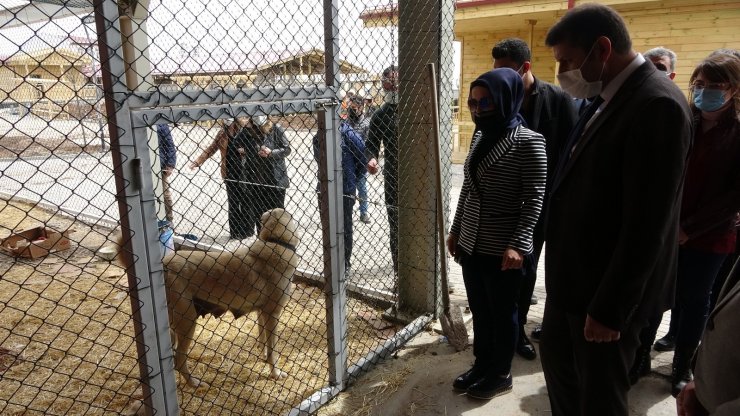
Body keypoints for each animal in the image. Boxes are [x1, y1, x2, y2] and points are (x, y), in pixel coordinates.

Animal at [117, 208, 300, 386]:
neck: (275, 241)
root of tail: (164, 264)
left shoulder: (262, 313)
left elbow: (263, 341)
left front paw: (263, 357)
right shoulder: (272, 315)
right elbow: (272, 350)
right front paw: (275, 373)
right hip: (187, 322)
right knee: (179, 359)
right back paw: (194, 383)